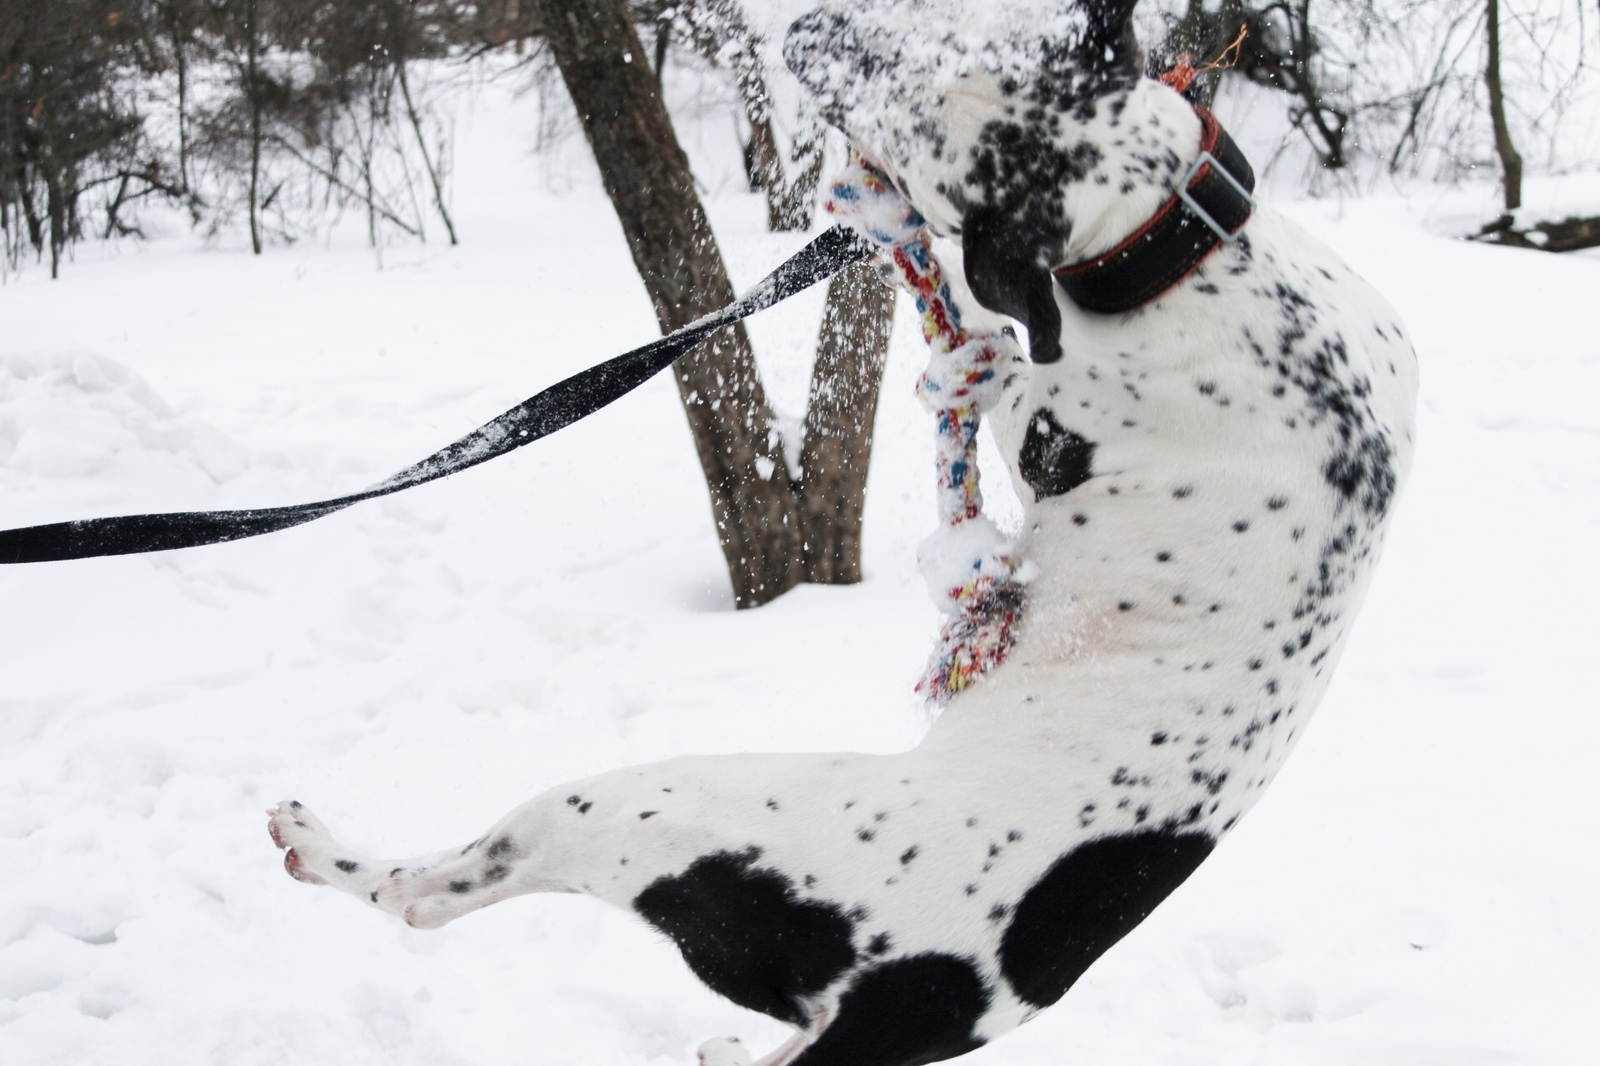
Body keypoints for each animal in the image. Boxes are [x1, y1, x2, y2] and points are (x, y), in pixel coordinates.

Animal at [268, 4, 1420, 1056]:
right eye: (949, 22)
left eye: (899, 110)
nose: (810, 30)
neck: (1179, 237)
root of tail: (908, 991)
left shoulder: (1036, 394)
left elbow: (994, 341)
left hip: (633, 808)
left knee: (434, 893)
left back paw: (321, 847)